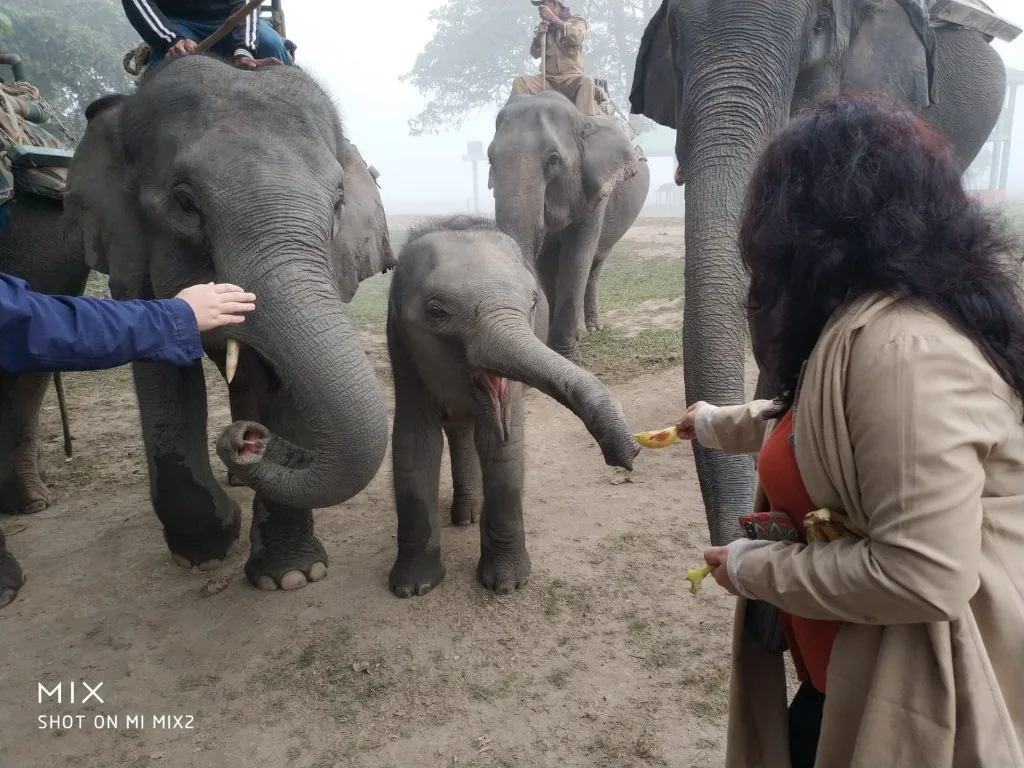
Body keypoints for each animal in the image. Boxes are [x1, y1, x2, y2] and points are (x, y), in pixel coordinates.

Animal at [60, 54, 390, 593]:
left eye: (338, 203)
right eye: (184, 202)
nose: (247, 439)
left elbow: (285, 386)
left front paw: (293, 576)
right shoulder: (130, 266)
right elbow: (164, 377)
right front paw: (206, 551)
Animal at [385, 215, 640, 596]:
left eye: (533, 303)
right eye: (436, 312)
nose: (628, 454)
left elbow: (503, 447)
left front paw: (506, 585)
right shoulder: (402, 351)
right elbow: (415, 446)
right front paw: (412, 588)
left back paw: (470, 513)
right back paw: (465, 514)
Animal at [488, 91, 651, 362]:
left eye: (553, 161)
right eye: (490, 159)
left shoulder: (598, 191)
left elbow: (576, 258)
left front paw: (567, 357)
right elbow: (545, 262)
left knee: (594, 265)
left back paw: (590, 329)